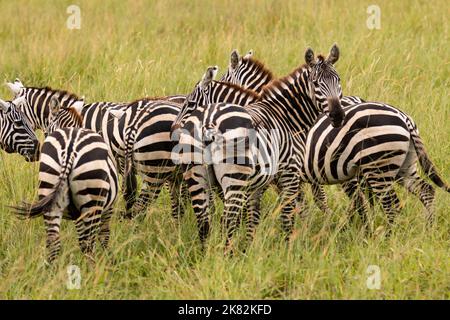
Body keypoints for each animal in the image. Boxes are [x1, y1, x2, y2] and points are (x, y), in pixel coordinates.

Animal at [14, 117, 118, 262]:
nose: (36, 152)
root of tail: (69, 150)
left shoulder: (77, 215)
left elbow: (82, 238)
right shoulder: (108, 208)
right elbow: (104, 234)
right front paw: (107, 258)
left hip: (49, 190)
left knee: (54, 243)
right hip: (92, 200)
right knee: (89, 243)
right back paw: (92, 266)